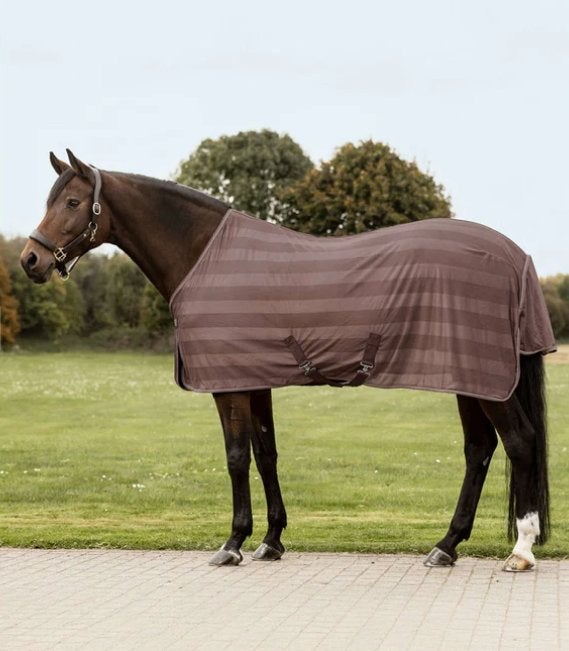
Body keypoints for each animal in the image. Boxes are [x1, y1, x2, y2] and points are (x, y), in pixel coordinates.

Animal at [20, 150, 556, 572]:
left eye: (72, 203)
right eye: (49, 200)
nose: (30, 260)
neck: (204, 255)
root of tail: (516, 257)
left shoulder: (229, 385)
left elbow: (236, 457)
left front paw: (233, 542)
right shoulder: (255, 379)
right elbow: (266, 454)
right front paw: (271, 541)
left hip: (489, 381)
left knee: (520, 441)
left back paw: (521, 550)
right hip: (471, 378)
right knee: (479, 450)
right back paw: (446, 546)